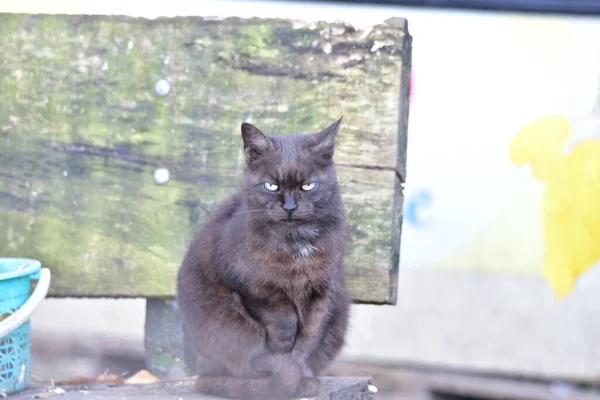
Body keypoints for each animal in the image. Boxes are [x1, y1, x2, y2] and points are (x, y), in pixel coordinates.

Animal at [176, 119, 350, 400]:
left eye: (307, 186)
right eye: (271, 186)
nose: (289, 207)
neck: (295, 245)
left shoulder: (322, 290)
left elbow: (308, 337)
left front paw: (301, 375)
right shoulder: (255, 287)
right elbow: (282, 325)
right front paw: (289, 375)